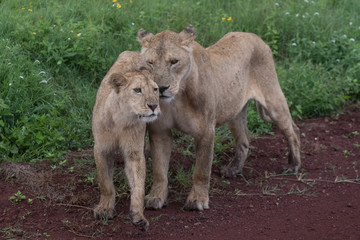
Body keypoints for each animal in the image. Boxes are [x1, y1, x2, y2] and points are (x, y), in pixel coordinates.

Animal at [92, 50, 160, 231]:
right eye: (137, 90)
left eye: (155, 89)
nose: (153, 106)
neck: (121, 119)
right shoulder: (101, 148)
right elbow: (105, 182)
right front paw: (105, 208)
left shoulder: (134, 152)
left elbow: (138, 185)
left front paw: (138, 216)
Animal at [138, 25, 300, 211]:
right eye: (150, 63)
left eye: (174, 62)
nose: (161, 88)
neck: (176, 98)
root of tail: (254, 35)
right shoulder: (160, 130)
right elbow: (159, 170)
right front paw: (155, 197)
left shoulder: (206, 130)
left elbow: (202, 169)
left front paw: (197, 200)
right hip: (235, 112)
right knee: (244, 140)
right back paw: (233, 169)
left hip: (272, 98)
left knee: (292, 130)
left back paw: (294, 164)